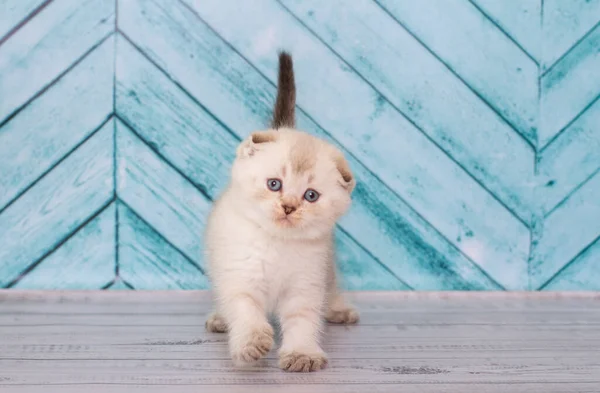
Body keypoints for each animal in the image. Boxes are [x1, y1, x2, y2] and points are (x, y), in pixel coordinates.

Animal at [204, 49, 358, 370]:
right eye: (274, 184)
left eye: (310, 195)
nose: (288, 207)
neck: (278, 243)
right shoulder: (240, 276)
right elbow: (245, 310)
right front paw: (251, 343)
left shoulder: (306, 284)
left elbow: (303, 320)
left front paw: (302, 353)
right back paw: (220, 319)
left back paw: (338, 311)